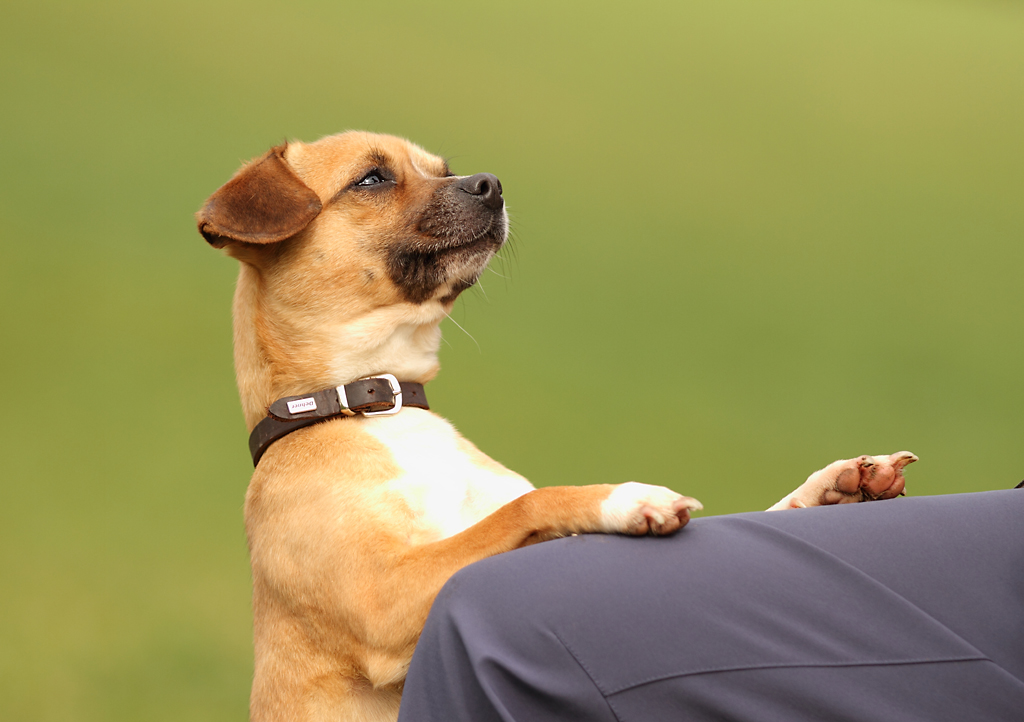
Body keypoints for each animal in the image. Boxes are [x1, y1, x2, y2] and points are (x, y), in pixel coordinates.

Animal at [195, 131, 917, 720]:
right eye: (372, 178)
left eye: (443, 168)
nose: (490, 185)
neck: (378, 406)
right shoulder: (383, 597)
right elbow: (533, 504)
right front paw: (626, 499)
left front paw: (835, 489)